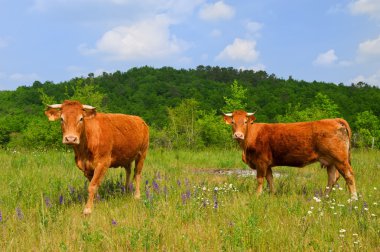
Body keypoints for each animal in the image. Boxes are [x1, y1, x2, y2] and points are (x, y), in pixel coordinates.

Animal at [223, 109, 356, 200]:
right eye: (233, 122)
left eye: (245, 122)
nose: (238, 135)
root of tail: (334, 119)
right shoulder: (268, 164)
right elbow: (270, 179)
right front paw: (273, 194)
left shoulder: (261, 162)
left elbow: (260, 180)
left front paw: (257, 195)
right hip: (330, 161)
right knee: (332, 178)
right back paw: (324, 198)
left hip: (340, 160)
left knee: (349, 176)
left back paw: (353, 199)